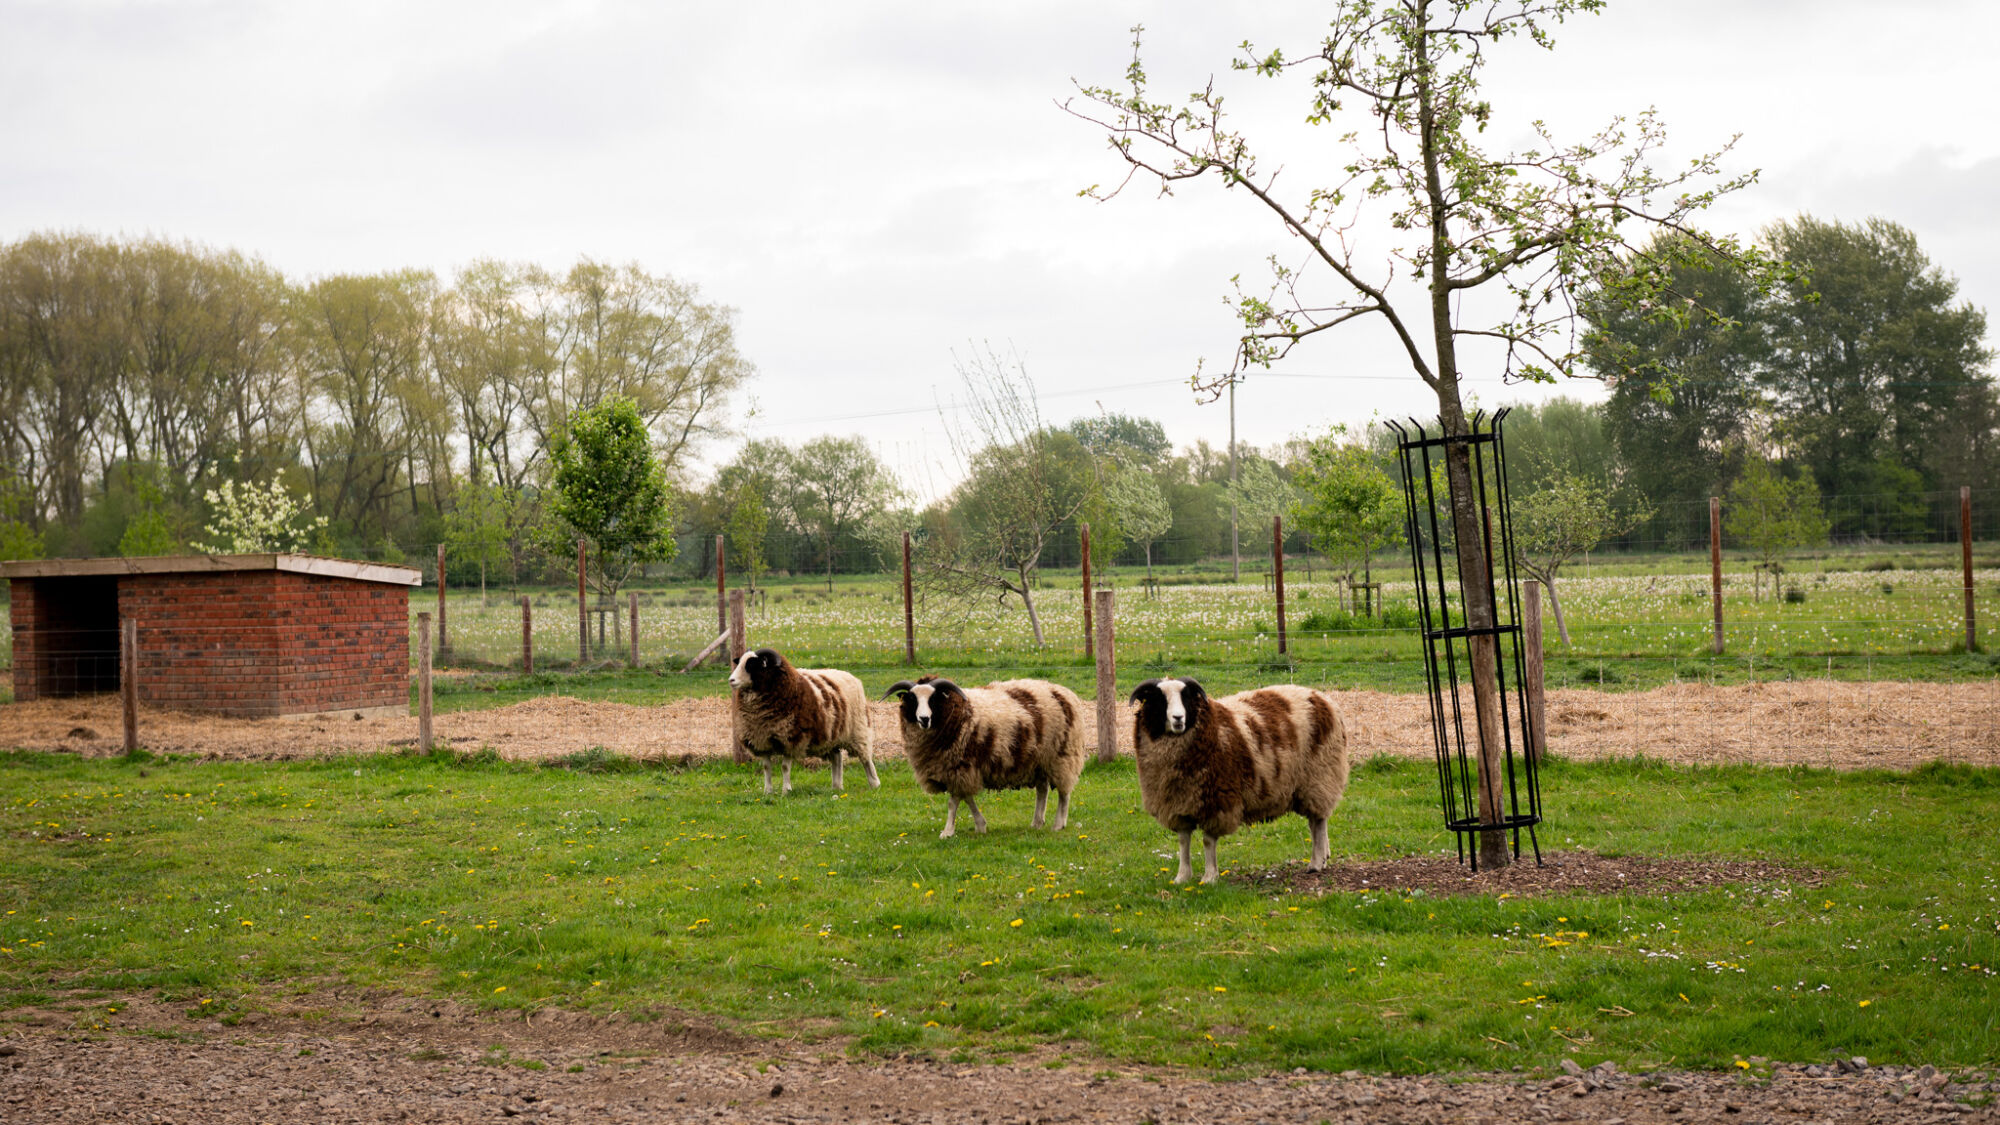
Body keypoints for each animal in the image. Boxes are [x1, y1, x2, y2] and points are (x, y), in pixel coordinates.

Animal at [728, 647, 880, 796]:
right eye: (739, 662)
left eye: (752, 665)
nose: (731, 680)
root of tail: (849, 675)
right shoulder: (761, 740)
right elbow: (766, 767)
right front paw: (768, 792)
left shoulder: (791, 739)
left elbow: (784, 767)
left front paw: (786, 791)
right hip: (831, 734)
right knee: (837, 758)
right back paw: (836, 787)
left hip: (859, 729)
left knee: (866, 759)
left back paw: (874, 784)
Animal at [882, 675, 1087, 838]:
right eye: (912, 699)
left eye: (933, 699)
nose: (924, 719)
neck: (961, 712)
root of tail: (1064, 692)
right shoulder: (959, 770)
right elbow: (967, 798)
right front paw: (980, 825)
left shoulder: (960, 767)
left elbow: (953, 803)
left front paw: (947, 831)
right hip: (1039, 760)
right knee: (1042, 789)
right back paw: (1037, 822)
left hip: (1062, 756)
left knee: (1064, 792)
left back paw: (1058, 824)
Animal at [1127, 676, 1349, 885]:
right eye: (1158, 699)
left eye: (1186, 696)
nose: (1178, 718)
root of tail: (1324, 698)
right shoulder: (1178, 804)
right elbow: (1183, 841)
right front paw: (1182, 877)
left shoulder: (1217, 802)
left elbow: (1208, 841)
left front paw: (1210, 877)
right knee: (1315, 821)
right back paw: (1323, 857)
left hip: (1320, 776)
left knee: (1318, 821)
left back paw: (1316, 862)